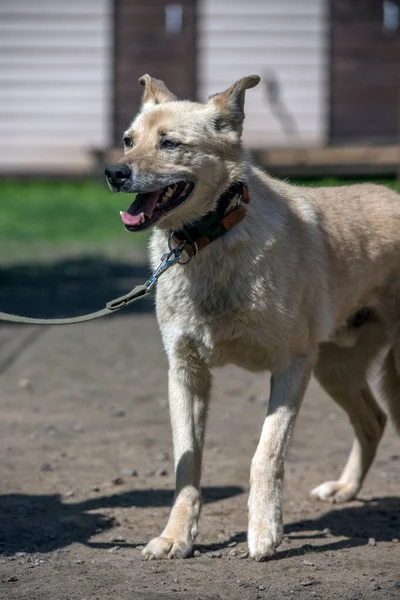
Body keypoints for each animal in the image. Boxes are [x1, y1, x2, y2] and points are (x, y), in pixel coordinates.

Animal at [105, 75, 400, 564]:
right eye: (128, 140)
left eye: (170, 143)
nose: (114, 173)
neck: (209, 239)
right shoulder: (186, 372)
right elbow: (187, 462)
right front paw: (176, 536)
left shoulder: (293, 365)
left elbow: (266, 454)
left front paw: (264, 531)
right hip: (336, 367)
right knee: (373, 420)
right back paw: (344, 488)